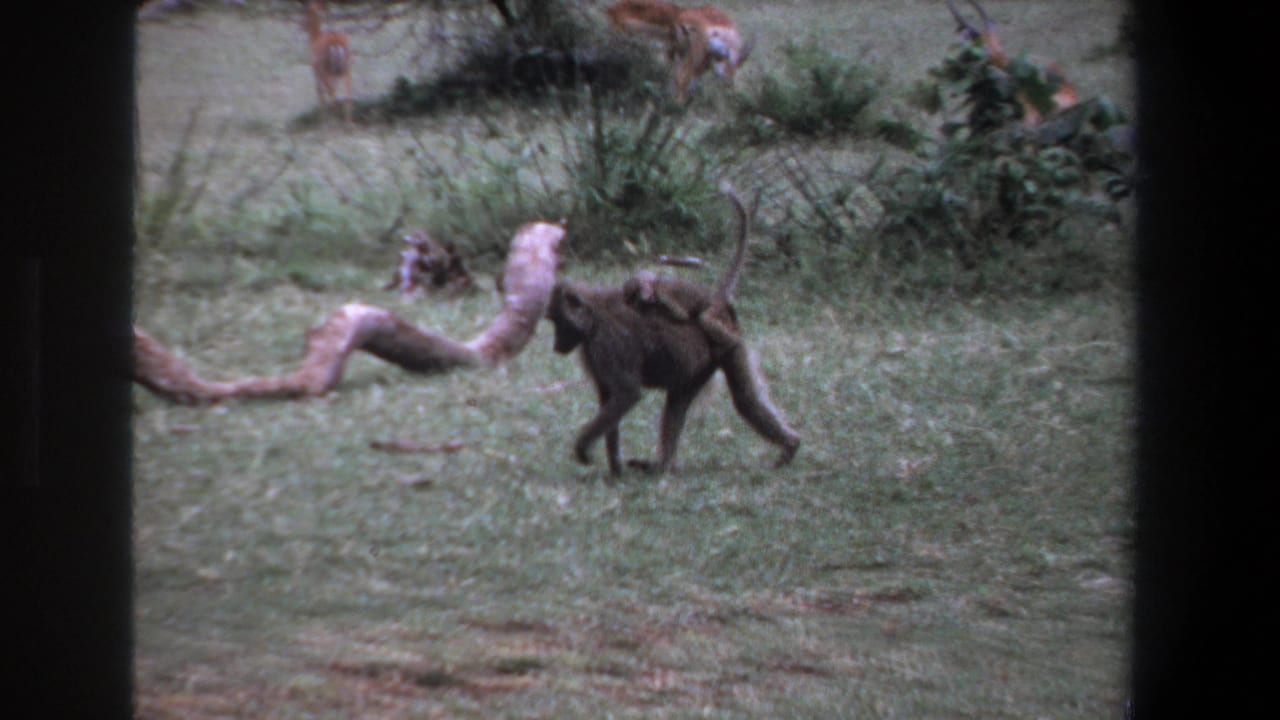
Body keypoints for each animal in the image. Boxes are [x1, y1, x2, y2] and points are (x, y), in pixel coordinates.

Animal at [545, 192, 799, 476]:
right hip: (702, 363)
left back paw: (790, 446)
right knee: (682, 402)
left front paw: (583, 449)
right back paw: (662, 466)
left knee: (744, 400)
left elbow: (626, 394)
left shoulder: (607, 344)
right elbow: (610, 399)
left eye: (558, 322)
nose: (556, 344)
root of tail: (716, 302)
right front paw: (615, 470)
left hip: (725, 340)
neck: (593, 315)